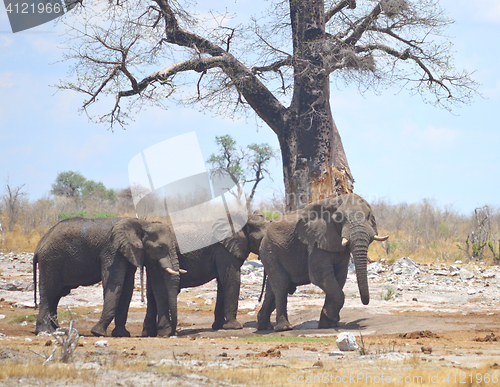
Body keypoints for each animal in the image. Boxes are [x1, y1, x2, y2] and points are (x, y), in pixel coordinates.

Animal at [31, 217, 180, 338]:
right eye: (160, 247)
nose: (172, 333)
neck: (143, 223)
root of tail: (39, 246)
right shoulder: (112, 251)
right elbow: (114, 283)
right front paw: (97, 332)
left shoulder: (126, 252)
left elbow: (127, 287)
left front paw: (121, 334)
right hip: (51, 261)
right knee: (49, 293)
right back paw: (45, 331)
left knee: (56, 295)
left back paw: (57, 330)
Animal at [143, 212, 272, 336]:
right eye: (262, 239)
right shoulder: (224, 251)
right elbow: (231, 280)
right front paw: (234, 327)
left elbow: (222, 283)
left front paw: (219, 326)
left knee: (152, 293)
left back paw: (148, 333)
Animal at [256, 194, 388, 334]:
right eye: (339, 218)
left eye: (369, 216)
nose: (365, 302)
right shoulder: (315, 242)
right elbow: (320, 276)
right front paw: (330, 316)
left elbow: (339, 277)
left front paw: (328, 324)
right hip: (269, 251)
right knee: (282, 285)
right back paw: (284, 328)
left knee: (272, 289)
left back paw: (264, 327)